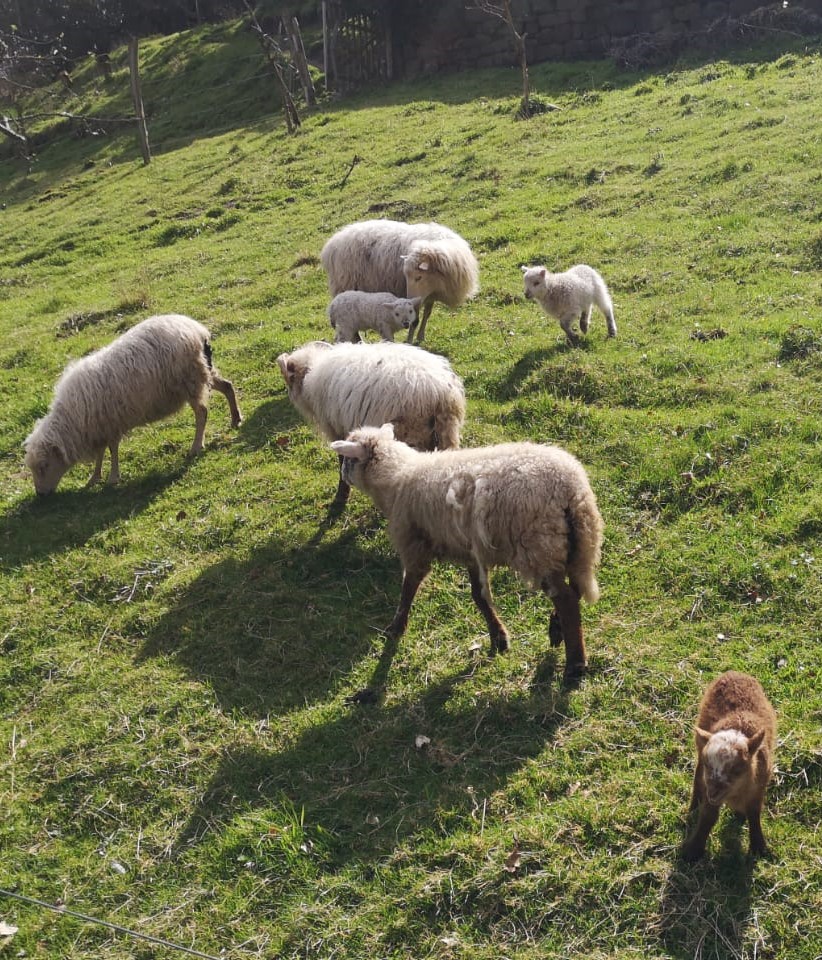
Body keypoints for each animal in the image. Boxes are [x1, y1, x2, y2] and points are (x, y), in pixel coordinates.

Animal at [24, 316, 243, 496]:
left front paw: (112, 477)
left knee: (202, 412)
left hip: (190, 379)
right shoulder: (99, 428)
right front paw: (94, 478)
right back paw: (235, 419)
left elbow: (111, 449)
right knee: (227, 386)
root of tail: (198, 330)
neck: (71, 420)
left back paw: (197, 446)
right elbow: (101, 452)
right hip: (203, 373)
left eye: (44, 466)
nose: (40, 495)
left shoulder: (109, 424)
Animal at [278, 338, 466, 502]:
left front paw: (342, 493)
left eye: (289, 379)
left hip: (413, 432)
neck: (310, 372)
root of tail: (442, 393)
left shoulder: (336, 428)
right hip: (445, 432)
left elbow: (341, 459)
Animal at [318, 219, 480, 344]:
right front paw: (409, 340)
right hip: (345, 286)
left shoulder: (429, 294)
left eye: (419, 277)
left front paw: (421, 336)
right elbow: (415, 319)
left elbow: (427, 314)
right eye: (406, 276)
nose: (409, 296)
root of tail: (331, 245)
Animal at [328, 424, 604, 680]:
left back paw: (575, 664)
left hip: (540, 546)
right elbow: (479, 596)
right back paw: (558, 629)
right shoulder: (471, 551)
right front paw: (499, 638)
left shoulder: (414, 544)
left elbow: (408, 588)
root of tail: (571, 489)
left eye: (349, 459)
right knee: (575, 590)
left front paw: (396, 627)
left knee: (566, 599)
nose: (342, 475)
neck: (398, 477)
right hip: (577, 545)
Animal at [684, 668, 784, 864]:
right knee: (697, 778)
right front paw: (693, 850)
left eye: (737, 770)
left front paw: (758, 847)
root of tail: (734, 672)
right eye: (709, 765)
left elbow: (754, 813)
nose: (713, 792)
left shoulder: (758, 788)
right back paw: (693, 807)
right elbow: (708, 816)